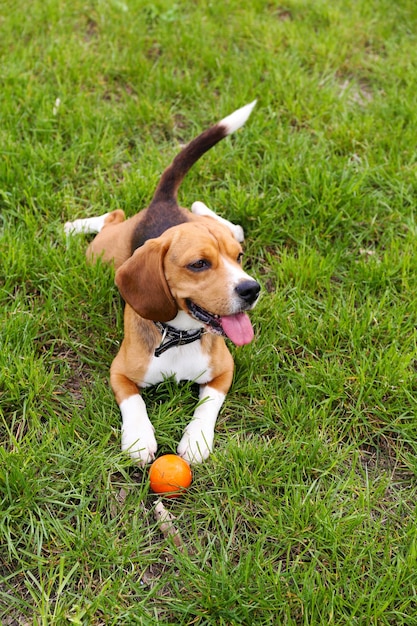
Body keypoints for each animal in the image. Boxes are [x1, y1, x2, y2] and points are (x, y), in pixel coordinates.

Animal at [64, 101, 260, 464]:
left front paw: (197, 439)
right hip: (100, 254)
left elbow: (208, 405)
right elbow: (135, 402)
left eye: (239, 258)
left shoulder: (224, 372)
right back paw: (73, 226)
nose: (251, 289)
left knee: (229, 224)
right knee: (113, 215)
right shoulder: (119, 372)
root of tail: (163, 203)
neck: (178, 336)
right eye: (199, 264)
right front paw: (139, 438)